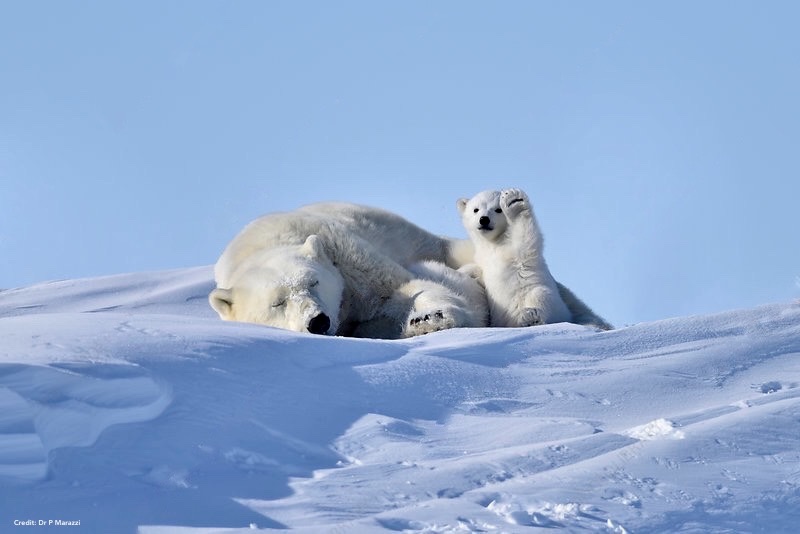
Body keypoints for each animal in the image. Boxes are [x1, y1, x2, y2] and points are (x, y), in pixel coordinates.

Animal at [209, 202, 487, 339]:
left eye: (314, 282)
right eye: (277, 303)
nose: (317, 321)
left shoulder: (345, 257)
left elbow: (401, 288)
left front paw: (432, 318)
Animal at [457, 188, 613, 330]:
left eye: (498, 210)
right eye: (476, 209)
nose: (484, 219)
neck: (494, 243)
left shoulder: (516, 252)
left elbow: (526, 238)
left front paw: (514, 202)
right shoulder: (483, 258)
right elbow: (477, 270)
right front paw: (463, 272)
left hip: (548, 300)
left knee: (541, 296)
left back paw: (530, 316)